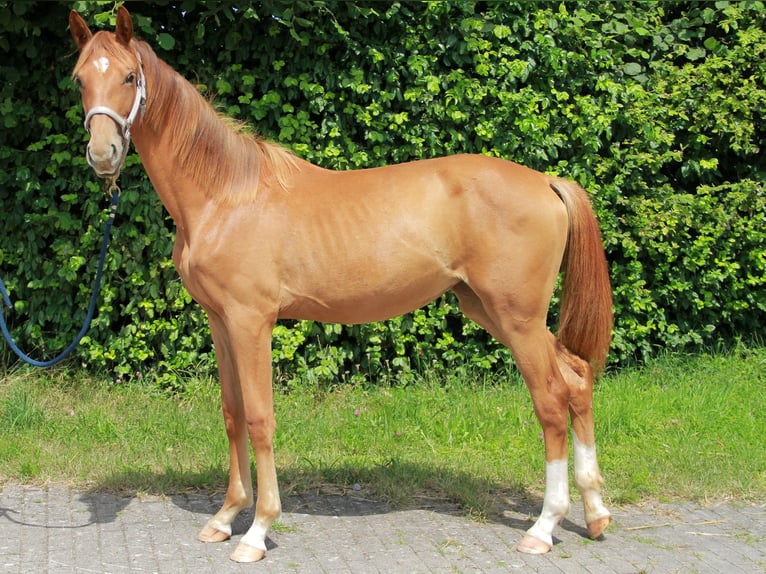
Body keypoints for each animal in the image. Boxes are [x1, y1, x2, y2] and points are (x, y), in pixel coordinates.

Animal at [69, 7, 616, 568]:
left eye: (129, 77)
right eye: (80, 80)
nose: (103, 153)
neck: (226, 194)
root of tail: (545, 180)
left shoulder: (251, 321)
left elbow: (260, 418)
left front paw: (257, 530)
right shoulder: (221, 321)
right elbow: (232, 413)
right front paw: (224, 518)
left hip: (517, 317)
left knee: (551, 401)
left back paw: (544, 527)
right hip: (489, 309)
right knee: (576, 380)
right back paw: (595, 513)